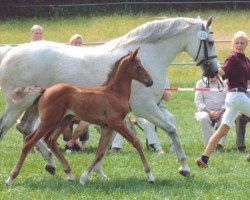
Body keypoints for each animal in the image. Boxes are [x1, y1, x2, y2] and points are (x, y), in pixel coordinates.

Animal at [5, 48, 154, 186]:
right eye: (139, 66)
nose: (150, 82)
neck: (114, 93)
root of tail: (46, 90)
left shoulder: (107, 126)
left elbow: (100, 152)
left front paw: (83, 178)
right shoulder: (117, 123)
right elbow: (136, 142)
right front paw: (149, 176)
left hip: (64, 120)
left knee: (51, 140)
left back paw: (69, 174)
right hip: (49, 121)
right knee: (29, 141)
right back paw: (11, 178)